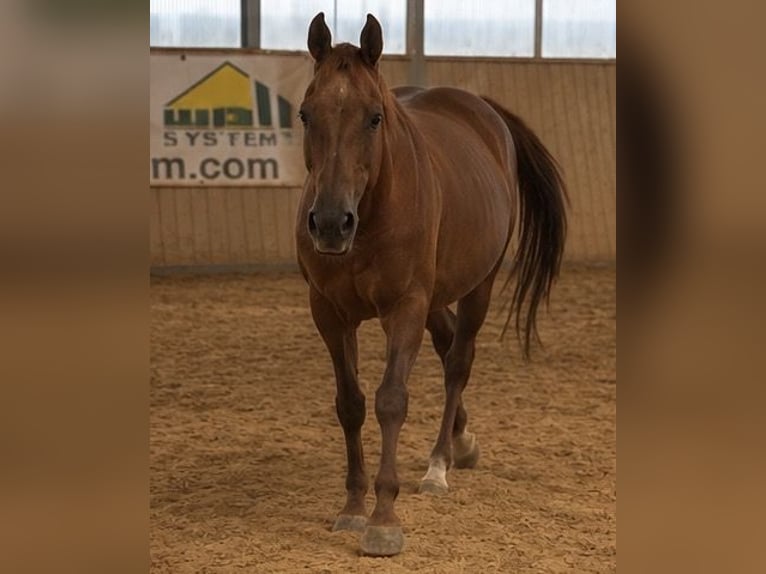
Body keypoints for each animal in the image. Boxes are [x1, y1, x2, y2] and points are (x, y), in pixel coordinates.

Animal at [295, 13, 567, 556]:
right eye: (306, 114)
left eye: (375, 118)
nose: (331, 223)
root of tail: (482, 110)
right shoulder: (329, 312)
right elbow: (350, 404)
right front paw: (352, 506)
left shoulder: (405, 308)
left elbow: (391, 400)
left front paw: (383, 518)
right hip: (436, 294)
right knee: (445, 343)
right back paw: (462, 440)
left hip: (478, 285)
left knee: (458, 361)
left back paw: (441, 462)